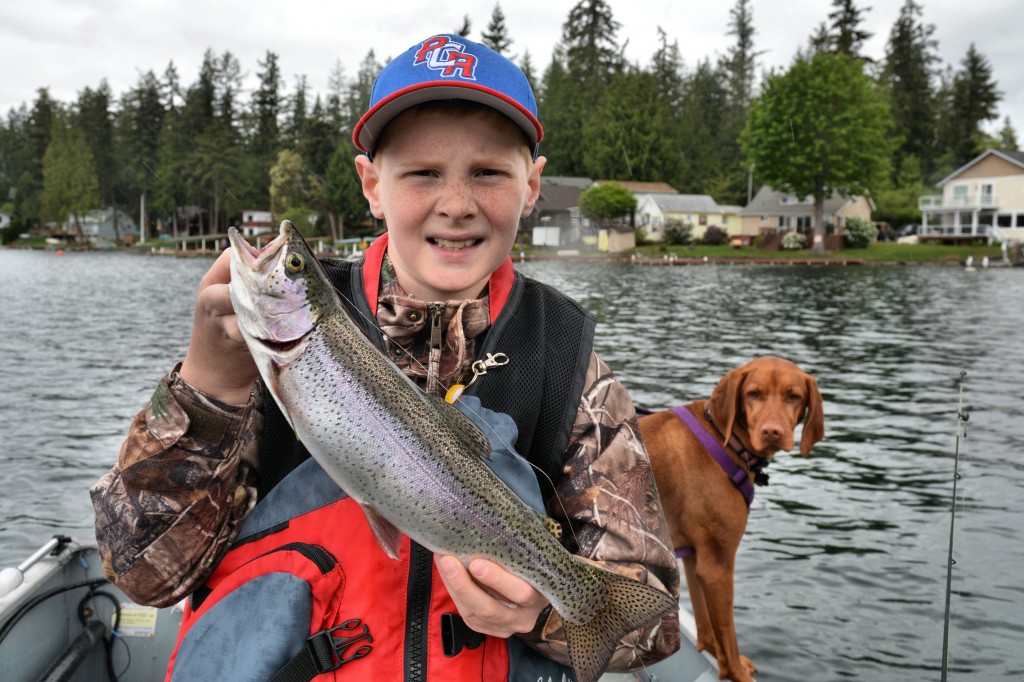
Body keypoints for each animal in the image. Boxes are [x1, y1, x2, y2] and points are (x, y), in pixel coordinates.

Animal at [638, 356, 823, 679]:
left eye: (794, 396)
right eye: (753, 393)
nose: (772, 432)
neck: (724, 439)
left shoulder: (696, 558)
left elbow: (707, 628)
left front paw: (717, 655)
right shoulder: (719, 566)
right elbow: (728, 634)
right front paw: (735, 672)